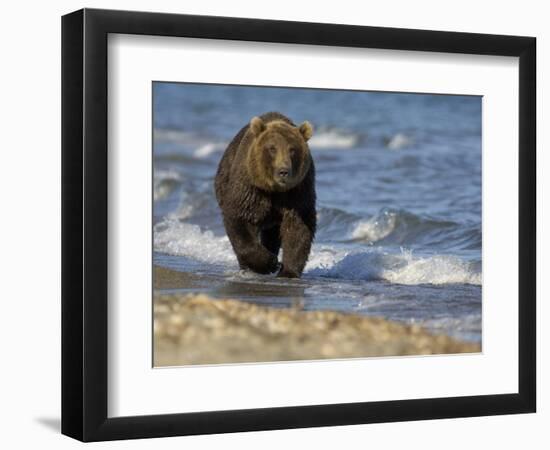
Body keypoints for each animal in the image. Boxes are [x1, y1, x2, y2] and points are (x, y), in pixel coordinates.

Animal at [216, 111, 320, 278]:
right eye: (272, 148)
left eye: (292, 149)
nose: (283, 171)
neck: (273, 189)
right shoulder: (251, 189)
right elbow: (239, 218)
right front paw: (269, 263)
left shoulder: (297, 192)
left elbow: (298, 227)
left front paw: (288, 271)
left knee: (272, 234)